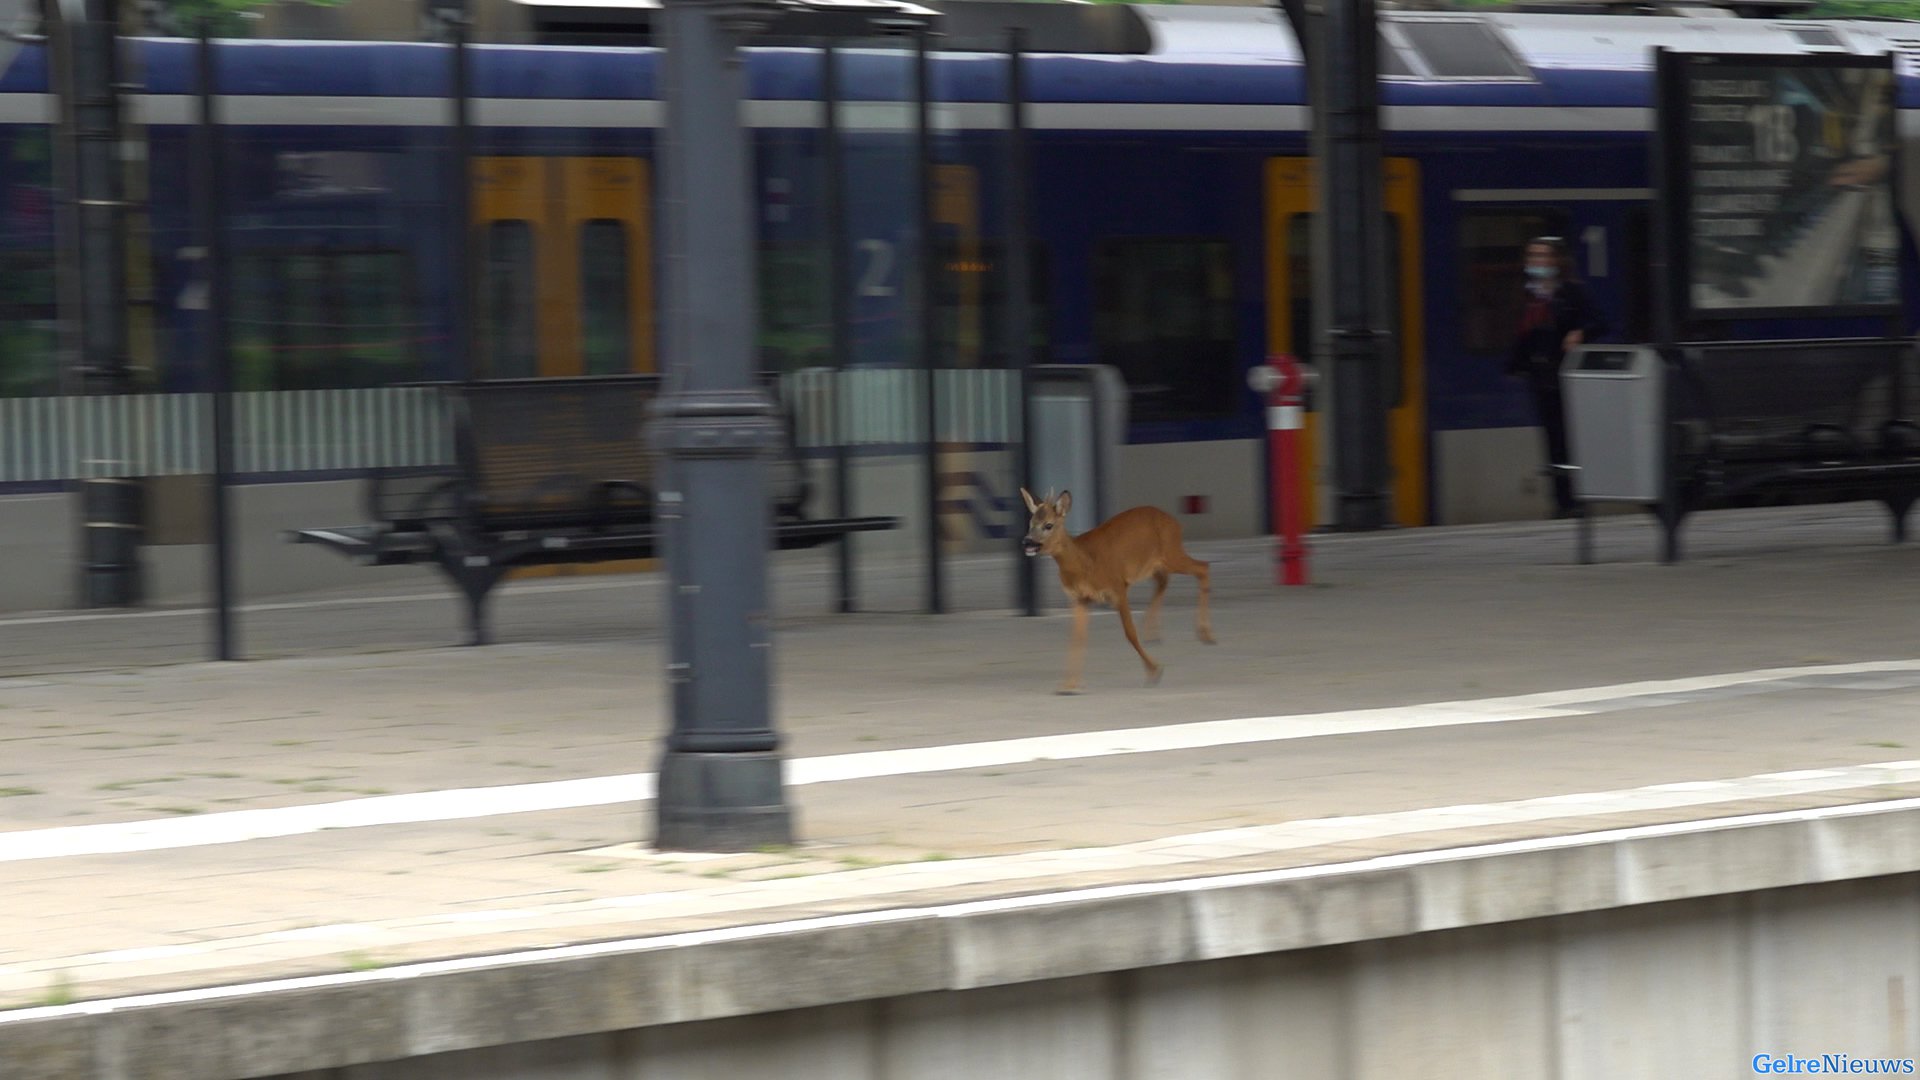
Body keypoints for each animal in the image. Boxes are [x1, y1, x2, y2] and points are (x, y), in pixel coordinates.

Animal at [1021, 486, 1213, 691]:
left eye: (1048, 525)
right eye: (1031, 523)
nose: (1027, 541)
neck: (1084, 562)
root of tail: (1174, 521)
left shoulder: (1118, 586)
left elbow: (1130, 632)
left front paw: (1154, 671)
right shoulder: (1079, 598)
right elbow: (1077, 638)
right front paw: (1068, 685)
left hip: (1171, 551)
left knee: (1203, 567)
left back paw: (1206, 635)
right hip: (1154, 565)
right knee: (1164, 581)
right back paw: (1152, 634)